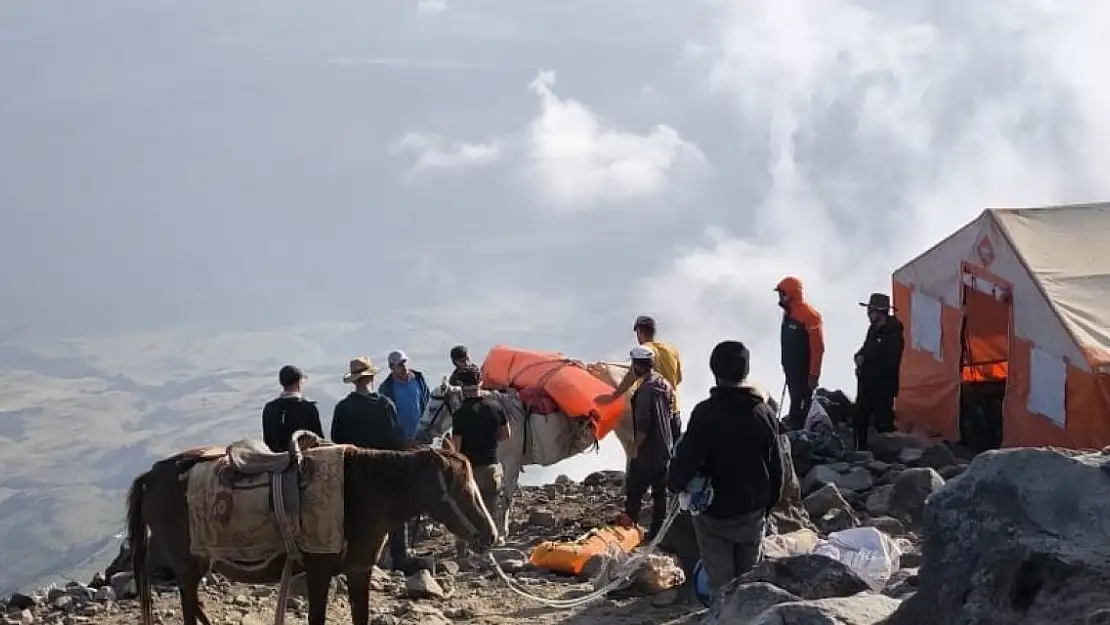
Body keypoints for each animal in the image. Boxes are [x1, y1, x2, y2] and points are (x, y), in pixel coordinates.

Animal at [124, 441, 499, 625]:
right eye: (462, 489)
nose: (491, 536)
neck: (359, 491)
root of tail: (151, 476)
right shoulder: (319, 572)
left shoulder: (358, 570)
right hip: (189, 565)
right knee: (190, 607)